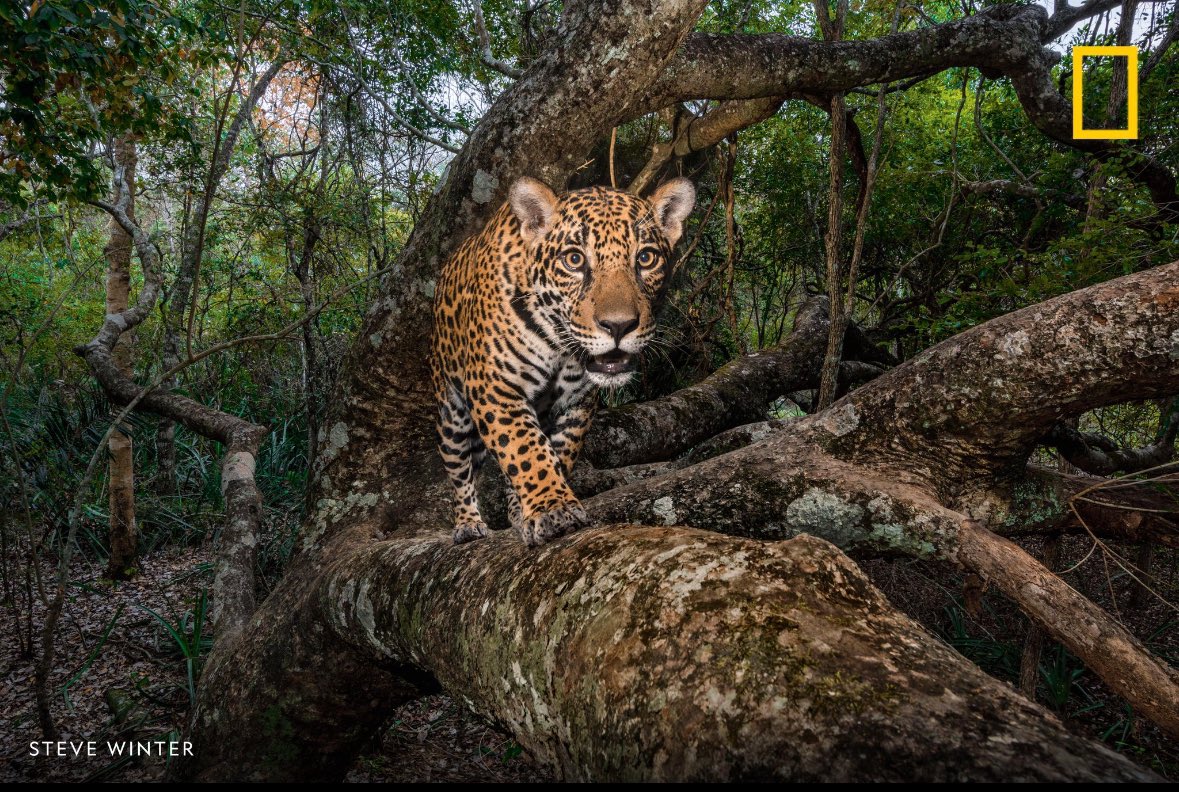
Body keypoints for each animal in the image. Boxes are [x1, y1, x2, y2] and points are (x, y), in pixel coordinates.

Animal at [431, 175, 695, 547]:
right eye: (573, 259)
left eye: (646, 258)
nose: (619, 326)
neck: (559, 345)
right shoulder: (497, 391)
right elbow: (525, 450)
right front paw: (552, 509)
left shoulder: (577, 402)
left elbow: (557, 452)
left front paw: (538, 506)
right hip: (452, 412)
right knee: (458, 469)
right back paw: (468, 524)